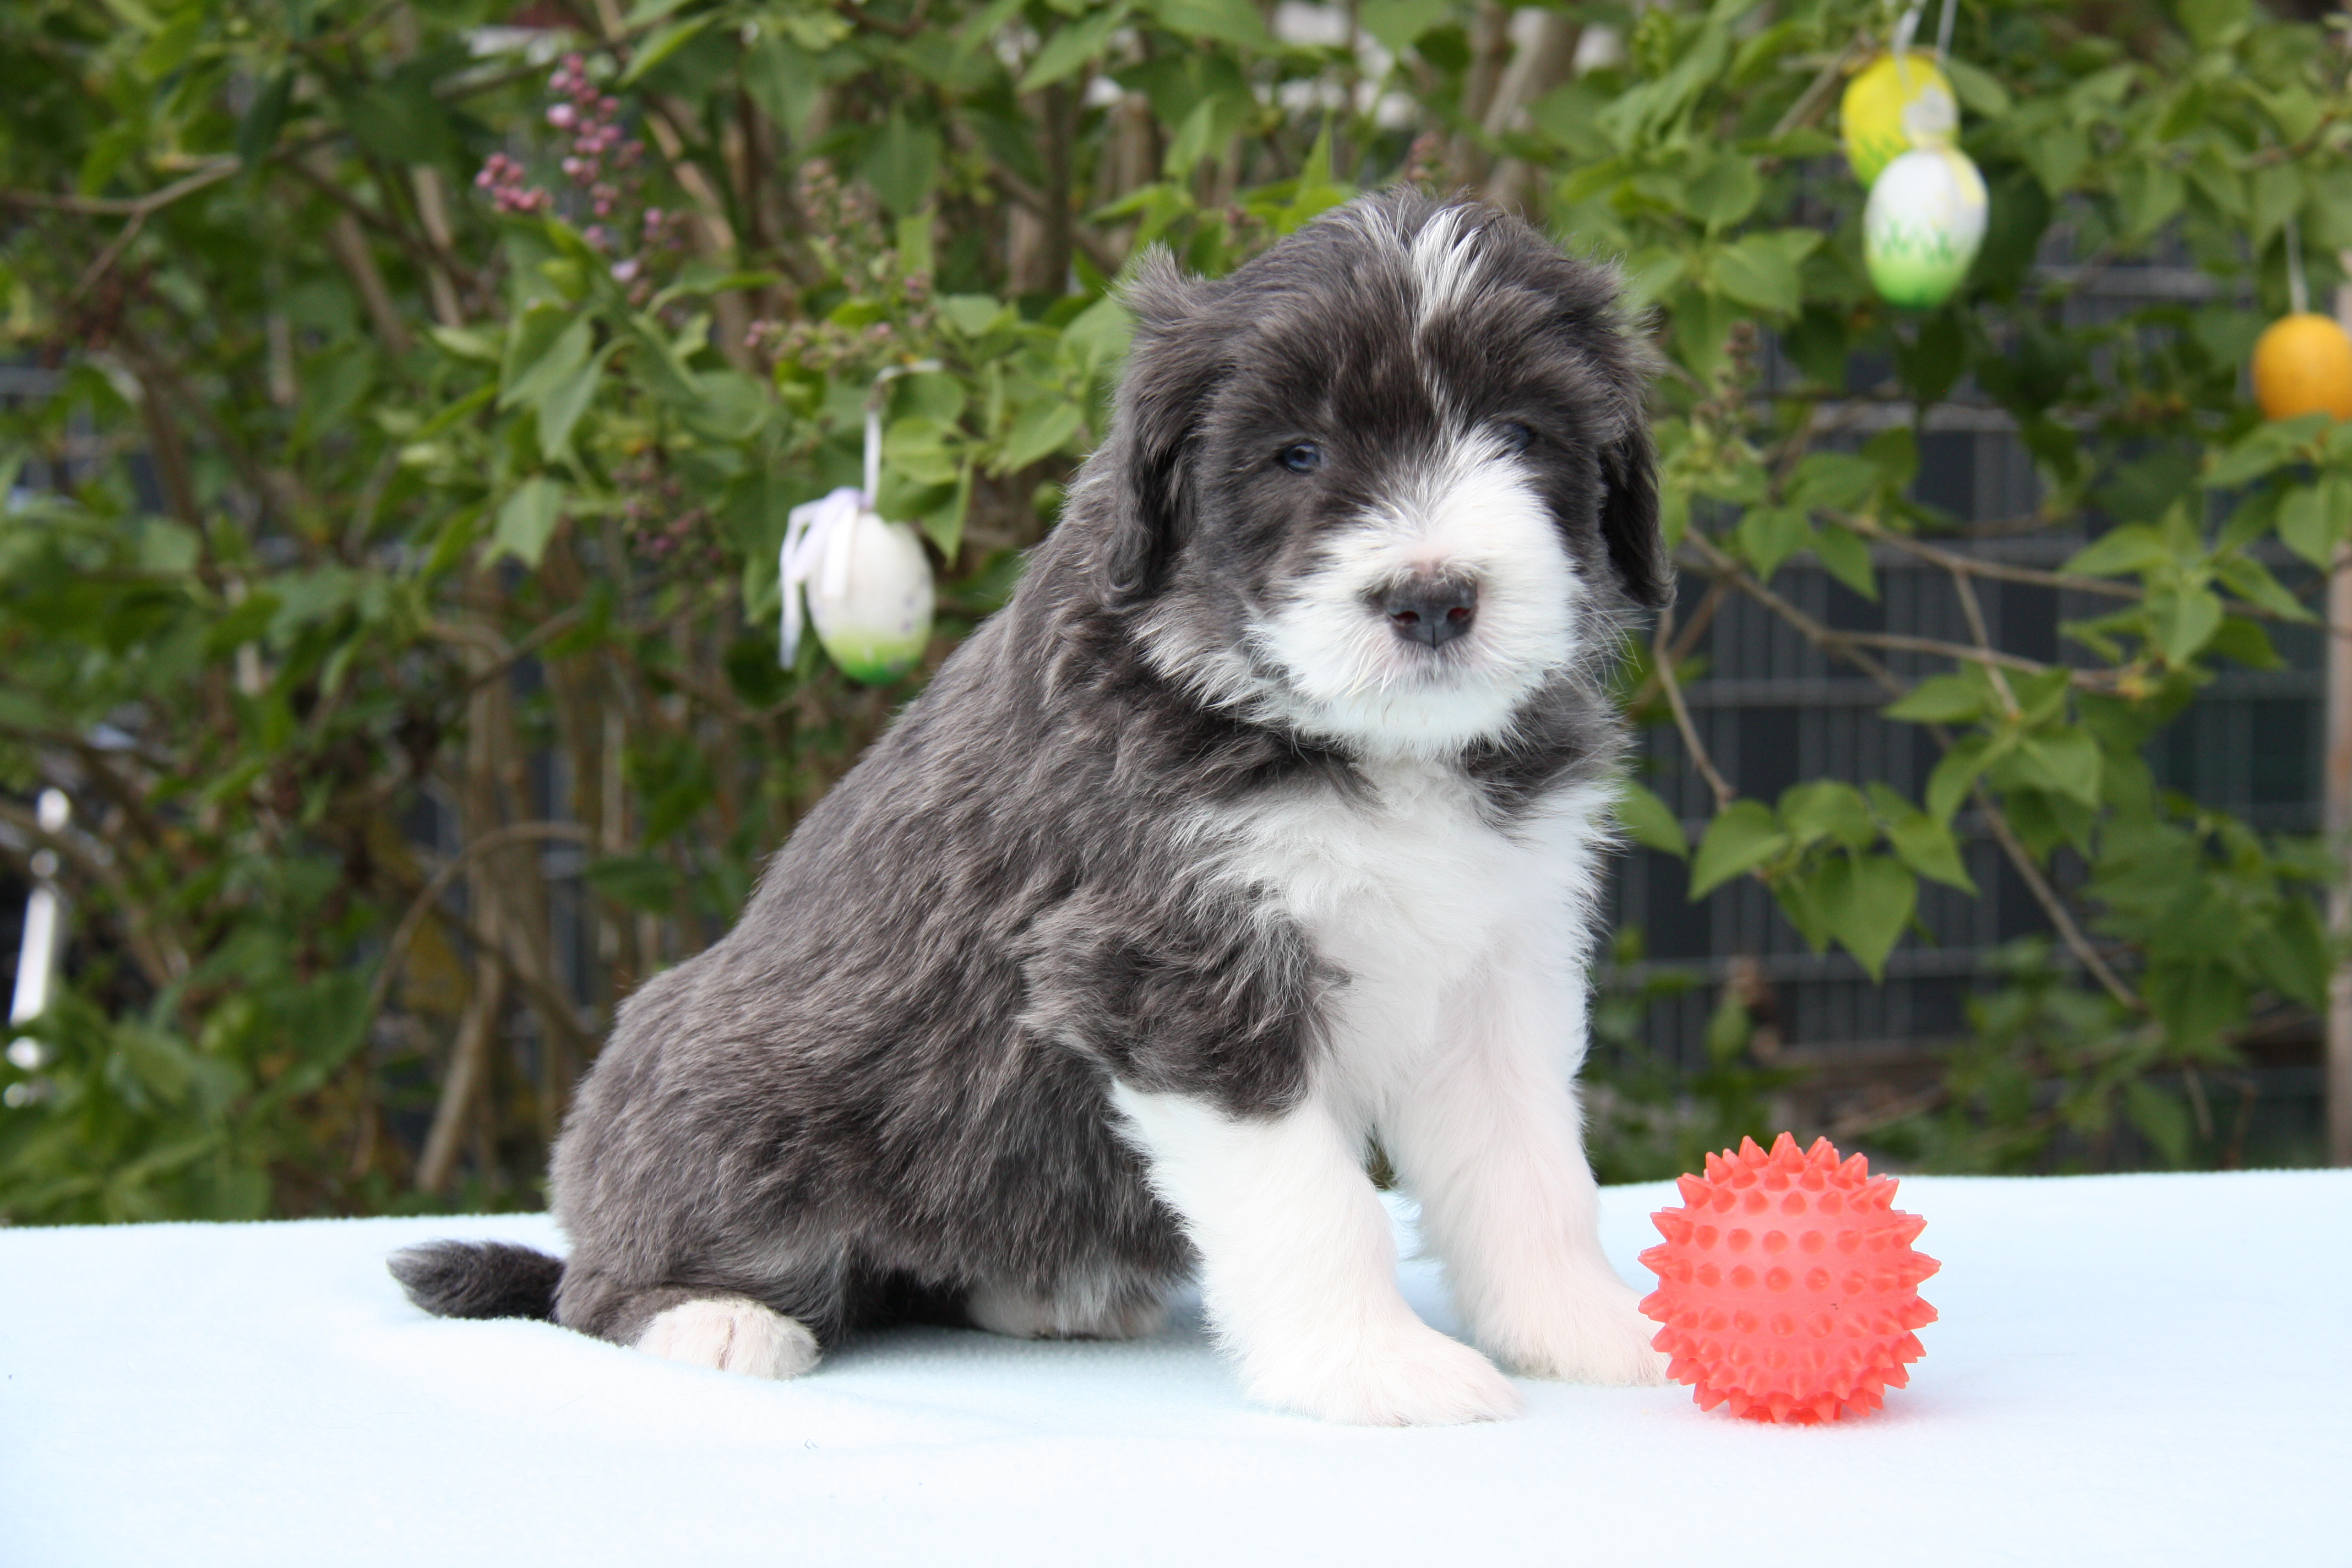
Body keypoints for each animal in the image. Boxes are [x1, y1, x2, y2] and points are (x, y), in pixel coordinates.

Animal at [392, 188, 1673, 1425]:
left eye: (1522, 433)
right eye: (1298, 454)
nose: (1433, 598)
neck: (1364, 741)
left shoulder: (1497, 965)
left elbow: (1529, 1175)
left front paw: (1582, 1330)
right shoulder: (1173, 972)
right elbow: (1314, 1202)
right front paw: (1368, 1367)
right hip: (726, 1102)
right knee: (594, 1286)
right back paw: (714, 1317)